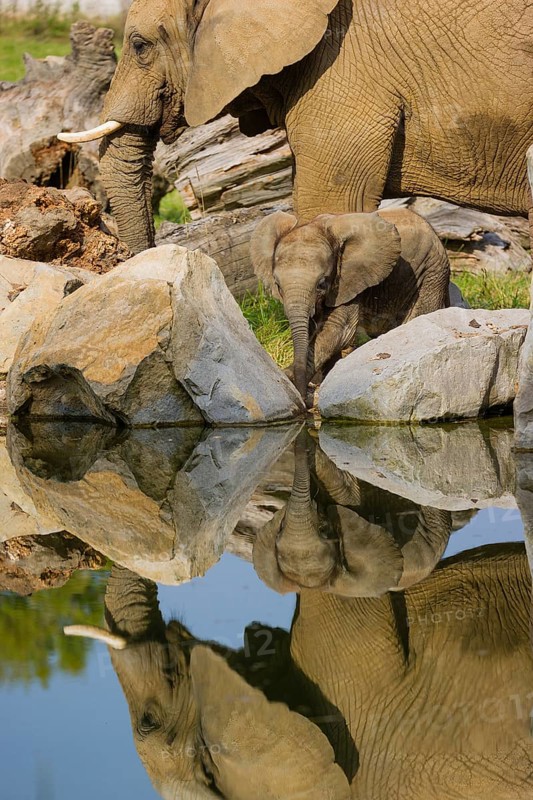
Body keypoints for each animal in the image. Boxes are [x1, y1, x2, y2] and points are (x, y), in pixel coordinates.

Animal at [251, 207, 450, 398]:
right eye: (278, 285)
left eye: (321, 284)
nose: (302, 395)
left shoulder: (351, 280)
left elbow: (337, 330)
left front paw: (289, 377)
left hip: (432, 272)